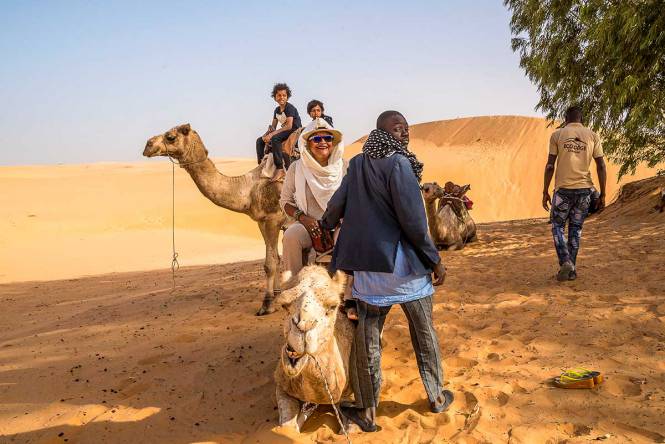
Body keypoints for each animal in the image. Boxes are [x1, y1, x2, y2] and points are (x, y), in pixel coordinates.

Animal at [143, 123, 286, 314]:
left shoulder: (273, 218)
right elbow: (276, 259)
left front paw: (267, 304)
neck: (247, 190)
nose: (148, 145)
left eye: (170, 137)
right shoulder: (262, 222)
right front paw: (277, 295)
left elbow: (269, 264)